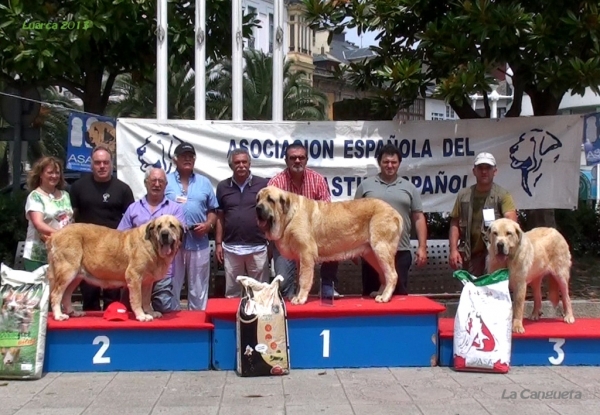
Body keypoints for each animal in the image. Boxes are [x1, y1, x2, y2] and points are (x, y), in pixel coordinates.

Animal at [47, 216, 183, 324]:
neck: (153, 245)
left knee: (66, 294)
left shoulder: (147, 282)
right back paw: (59, 316)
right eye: (159, 227)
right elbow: (137, 299)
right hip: (68, 271)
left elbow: (146, 299)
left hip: (75, 276)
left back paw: (73, 312)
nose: (164, 234)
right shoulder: (134, 276)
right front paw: (141, 316)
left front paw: (151, 312)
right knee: (55, 294)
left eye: (172, 226)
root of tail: (55, 234)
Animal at [254, 187, 404, 304]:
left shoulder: (306, 254)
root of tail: (396, 212)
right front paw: (296, 295)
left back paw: (385, 297)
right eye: (258, 199)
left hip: (381, 248)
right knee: (383, 273)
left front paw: (300, 299)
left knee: (392, 274)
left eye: (270, 199)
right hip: (372, 254)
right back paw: (379, 292)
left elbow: (304, 279)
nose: (257, 208)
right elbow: (299, 277)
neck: (289, 216)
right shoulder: (300, 259)